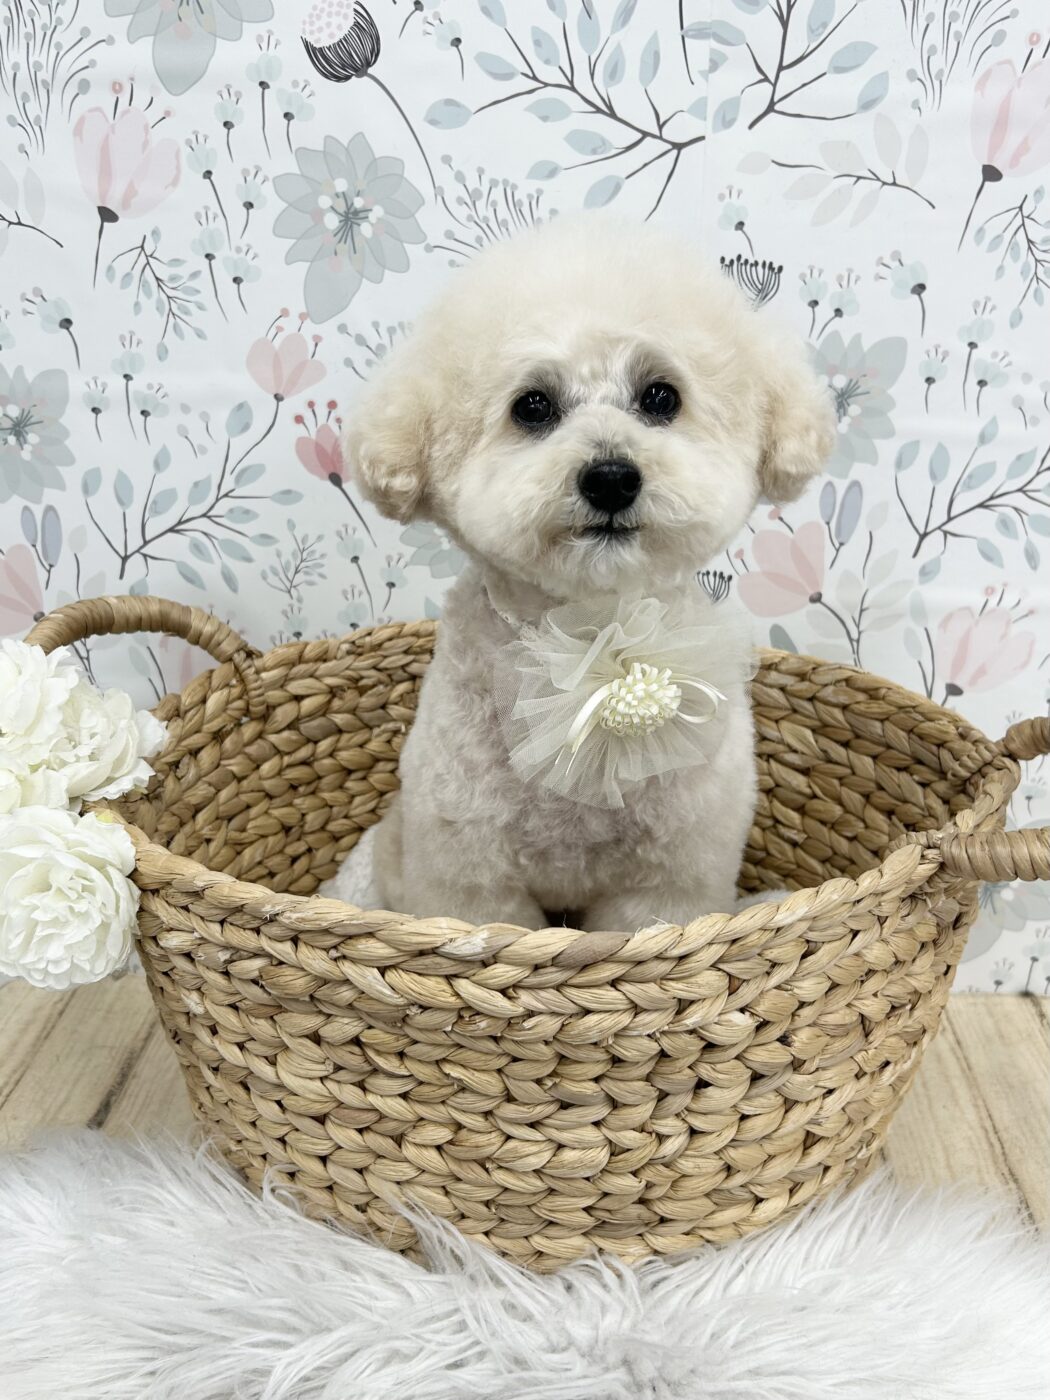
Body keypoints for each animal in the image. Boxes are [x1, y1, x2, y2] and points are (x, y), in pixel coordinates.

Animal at [343, 216, 834, 931]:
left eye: (660, 397)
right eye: (533, 406)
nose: (610, 477)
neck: (588, 634)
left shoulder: (665, 881)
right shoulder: (475, 880)